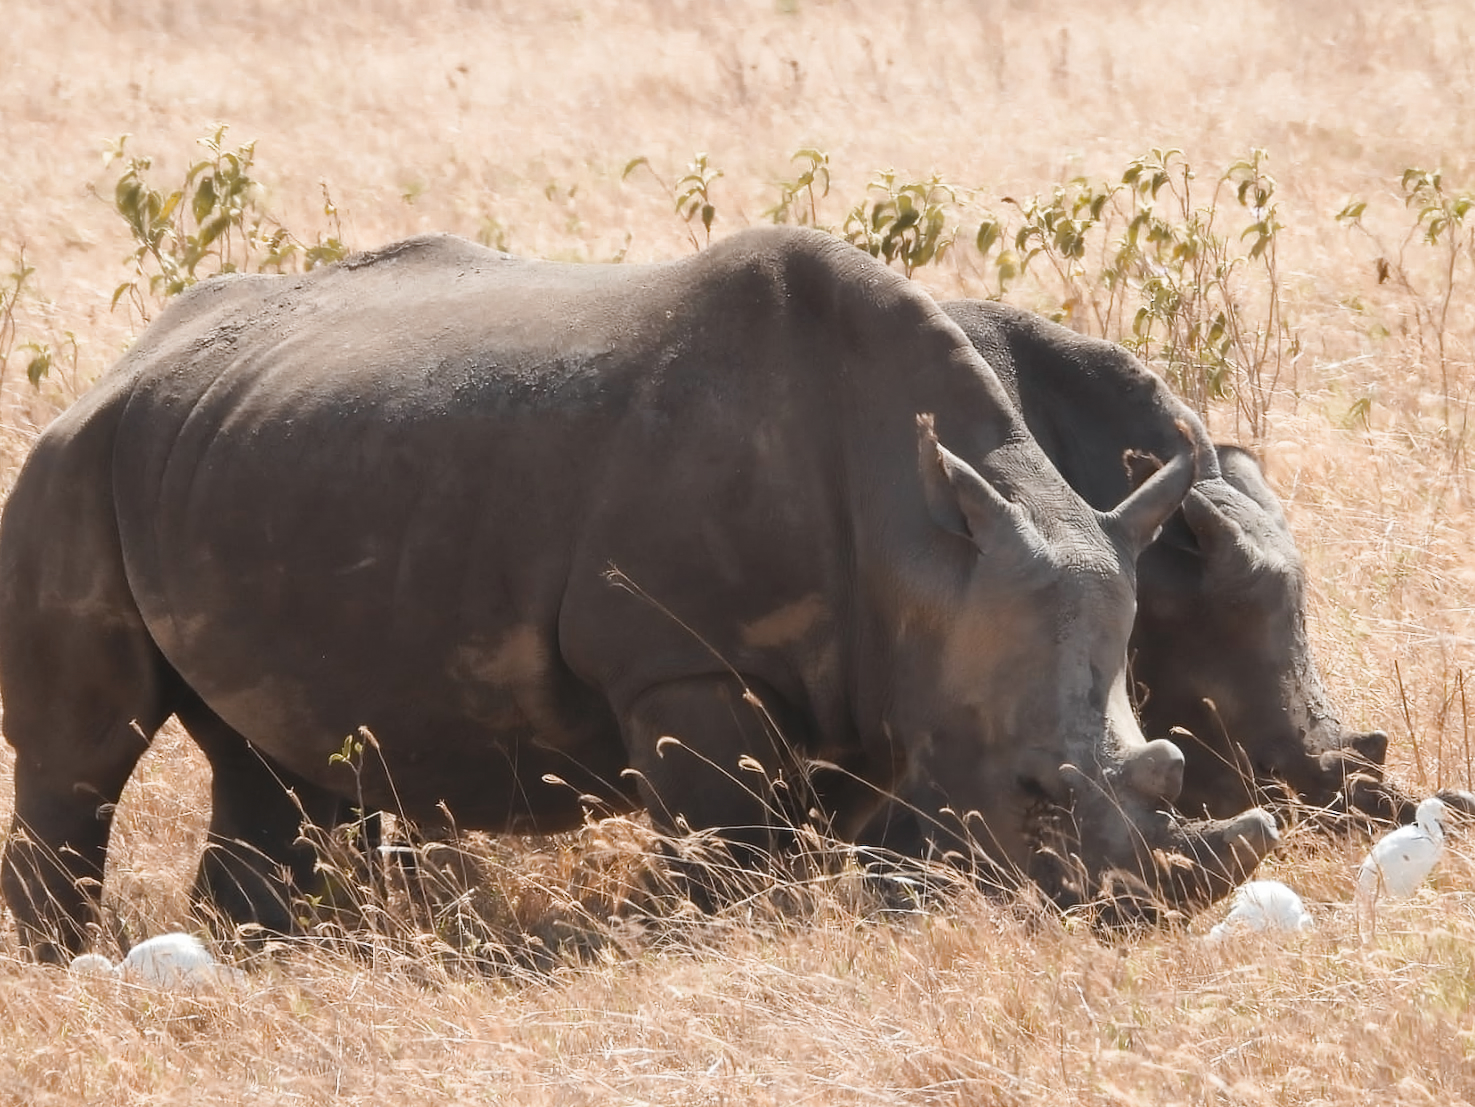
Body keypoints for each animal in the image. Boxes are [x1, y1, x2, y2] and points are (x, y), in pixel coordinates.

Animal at [0, 228, 1274, 960]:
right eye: (1034, 795)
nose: (1129, 917)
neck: (930, 548)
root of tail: (132, 358)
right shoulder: (680, 661)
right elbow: (735, 845)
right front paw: (744, 943)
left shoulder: (888, 668)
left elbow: (861, 830)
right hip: (72, 465)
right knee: (85, 748)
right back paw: (62, 958)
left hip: (237, 457)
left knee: (266, 758)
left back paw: (261, 951)